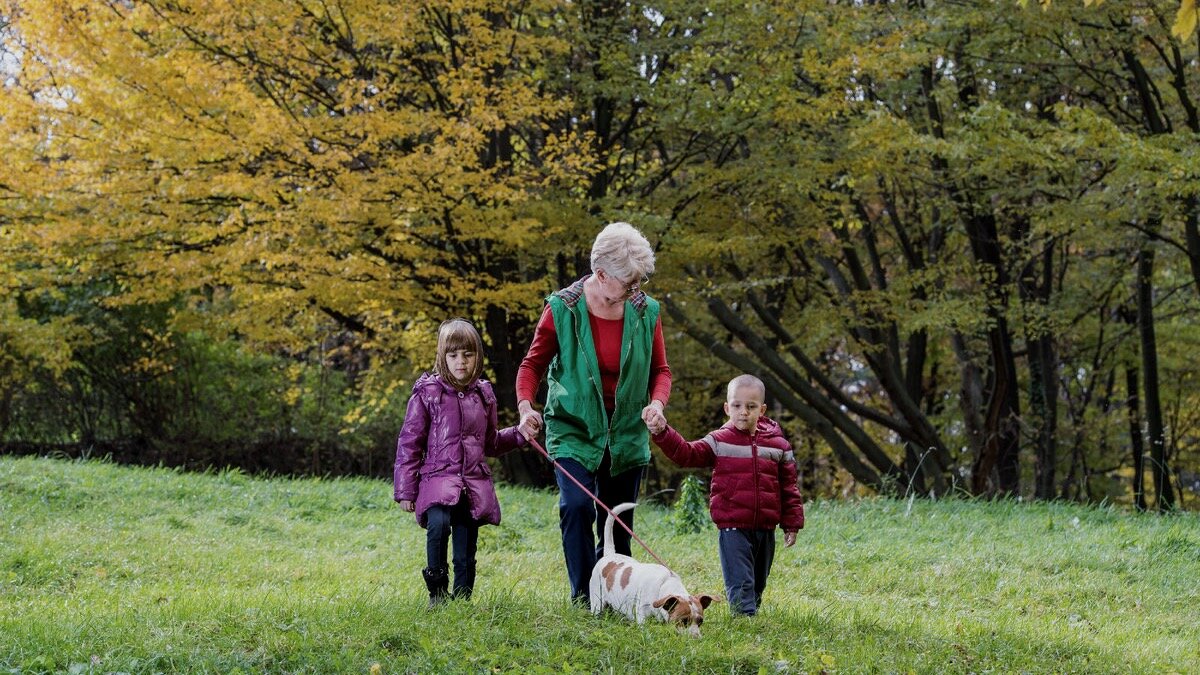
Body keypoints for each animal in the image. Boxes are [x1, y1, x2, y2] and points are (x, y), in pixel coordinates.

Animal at [588, 499, 715, 634]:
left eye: (700, 621)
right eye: (684, 621)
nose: (696, 637)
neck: (662, 586)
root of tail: (610, 554)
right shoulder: (642, 613)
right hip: (597, 602)